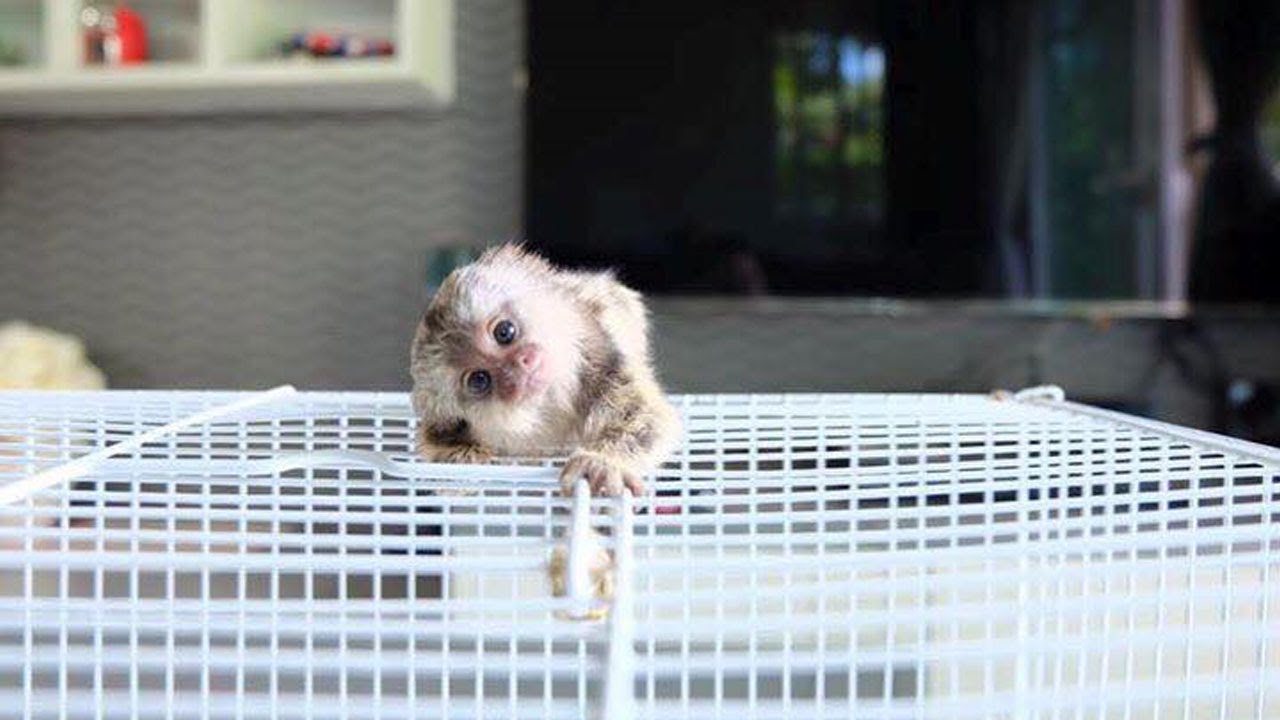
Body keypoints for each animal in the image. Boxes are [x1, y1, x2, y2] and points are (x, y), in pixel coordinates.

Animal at [409, 243, 681, 498]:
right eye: (479, 380)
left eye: (504, 331)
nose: (519, 365)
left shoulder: (596, 354)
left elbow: (645, 415)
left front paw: (604, 463)